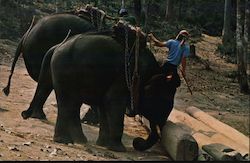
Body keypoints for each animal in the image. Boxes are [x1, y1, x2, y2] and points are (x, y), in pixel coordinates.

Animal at [25, 21, 177, 152]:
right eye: (164, 101)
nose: (137, 142)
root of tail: (57, 46)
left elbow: (105, 105)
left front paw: (103, 144)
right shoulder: (122, 77)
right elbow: (113, 102)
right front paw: (118, 149)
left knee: (73, 104)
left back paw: (79, 140)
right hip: (64, 72)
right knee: (67, 103)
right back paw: (64, 140)